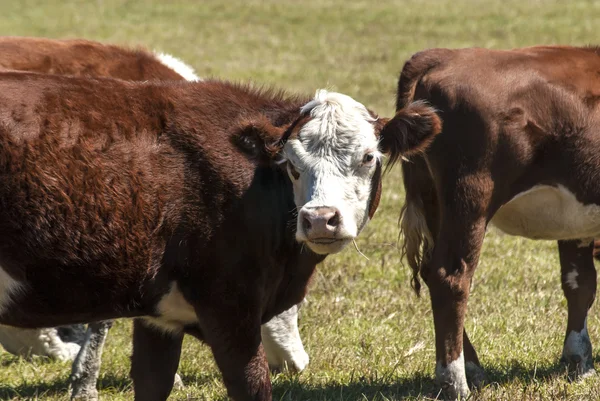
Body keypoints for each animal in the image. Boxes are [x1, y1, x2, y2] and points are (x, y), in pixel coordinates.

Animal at [0, 70, 438, 398]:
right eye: (292, 165)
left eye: (367, 157)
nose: (319, 218)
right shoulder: (230, 307)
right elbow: (252, 385)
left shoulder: (158, 317)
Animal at [382, 45, 600, 398]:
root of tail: (442, 55)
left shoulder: (576, 218)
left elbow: (579, 283)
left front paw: (579, 361)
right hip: (470, 196)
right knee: (450, 278)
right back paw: (455, 381)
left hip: (433, 200)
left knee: (430, 272)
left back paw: (473, 368)